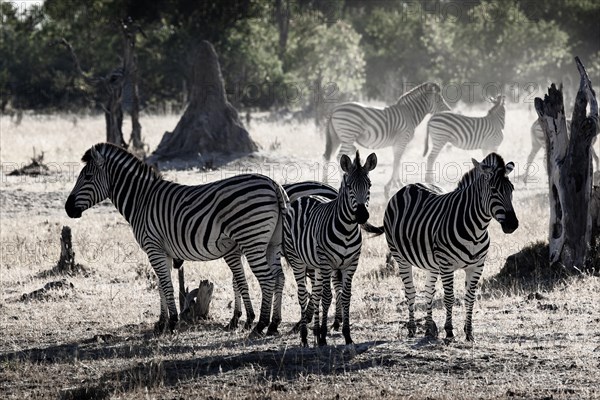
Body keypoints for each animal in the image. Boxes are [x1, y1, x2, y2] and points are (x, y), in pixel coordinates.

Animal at [65, 142, 288, 336]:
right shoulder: (162, 251)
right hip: (272, 243)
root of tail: (272, 183)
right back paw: (274, 324)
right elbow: (161, 286)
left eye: (87, 177)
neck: (141, 201)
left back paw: (260, 326)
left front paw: (171, 323)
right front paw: (161, 322)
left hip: (252, 241)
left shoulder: (153, 248)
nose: (67, 208)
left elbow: (166, 284)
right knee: (279, 277)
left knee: (267, 279)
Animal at [284, 152, 378, 346]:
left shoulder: (351, 264)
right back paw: (304, 336)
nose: (362, 215)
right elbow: (327, 296)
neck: (347, 230)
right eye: (349, 186)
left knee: (316, 293)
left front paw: (346, 335)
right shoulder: (327, 263)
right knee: (303, 294)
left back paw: (314, 333)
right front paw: (323, 336)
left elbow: (345, 296)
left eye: (370, 185)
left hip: (316, 265)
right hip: (298, 260)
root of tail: (305, 197)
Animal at [364, 153, 516, 340]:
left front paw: (469, 332)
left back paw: (429, 328)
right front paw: (449, 331)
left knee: (429, 291)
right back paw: (412, 328)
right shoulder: (447, 265)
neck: (476, 230)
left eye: (512, 189)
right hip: (401, 258)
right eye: (494, 190)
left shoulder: (477, 266)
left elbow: (470, 298)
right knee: (410, 292)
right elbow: (449, 297)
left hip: (432, 264)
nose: (513, 225)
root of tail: (409, 186)